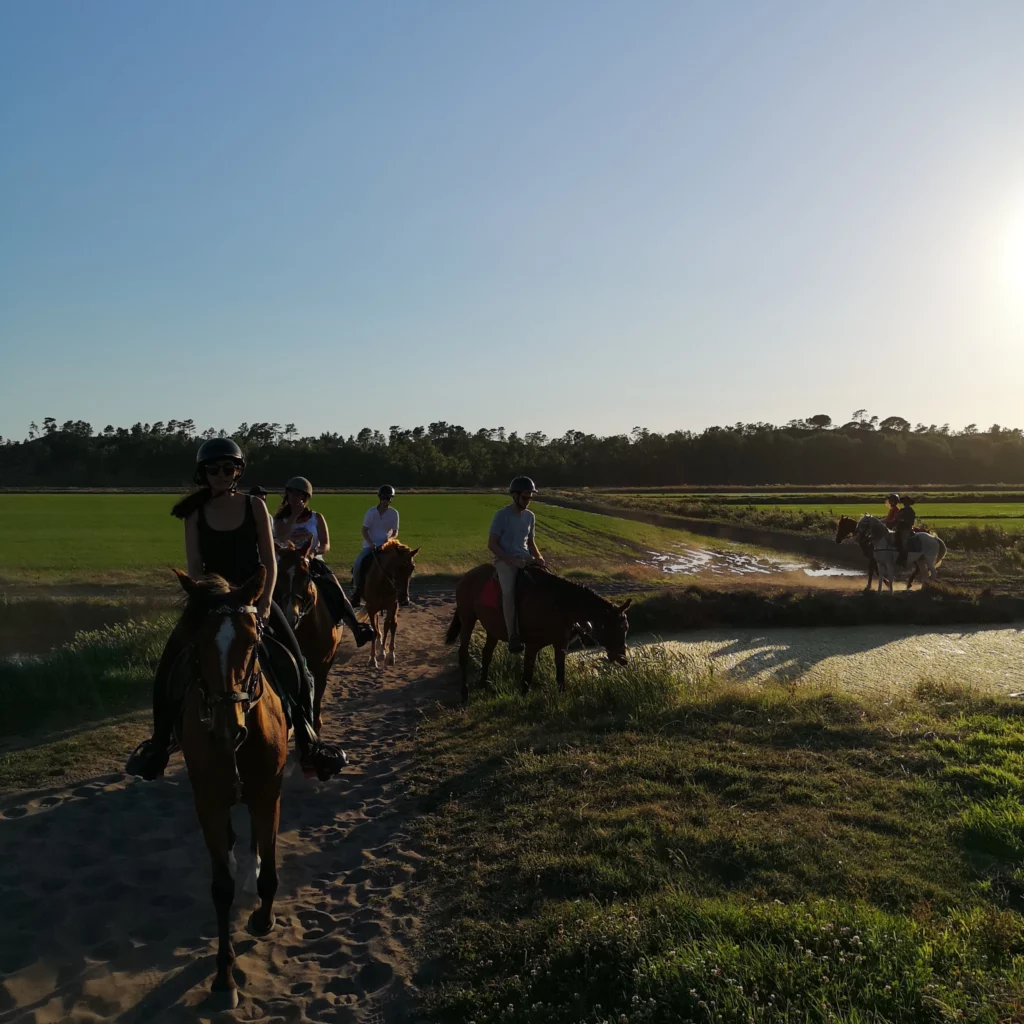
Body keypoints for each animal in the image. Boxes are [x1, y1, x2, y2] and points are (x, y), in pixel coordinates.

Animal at [174, 565, 288, 1011]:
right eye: (197, 645)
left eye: (253, 642)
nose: (227, 732)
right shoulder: (209, 804)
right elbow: (220, 888)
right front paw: (223, 978)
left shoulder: (267, 795)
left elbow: (270, 874)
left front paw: (263, 918)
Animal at [442, 565, 626, 708]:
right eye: (613, 628)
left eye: (626, 629)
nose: (623, 658)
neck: (558, 604)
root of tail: (467, 577)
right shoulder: (532, 646)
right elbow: (527, 675)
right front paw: (522, 700)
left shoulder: (560, 645)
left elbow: (560, 675)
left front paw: (562, 698)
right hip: (468, 620)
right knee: (463, 654)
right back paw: (464, 693)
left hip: (491, 628)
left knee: (486, 653)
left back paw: (483, 684)